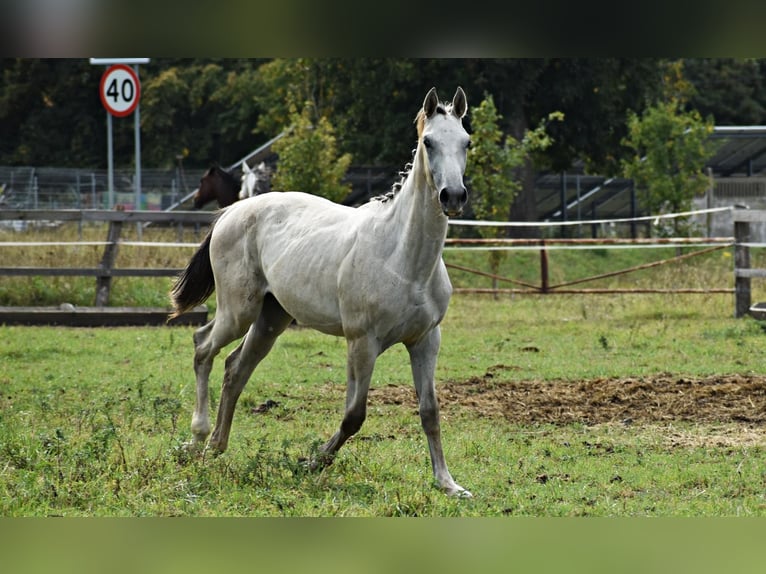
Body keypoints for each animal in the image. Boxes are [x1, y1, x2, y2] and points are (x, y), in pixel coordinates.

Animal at [172, 86, 474, 500]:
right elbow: (354, 414)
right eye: (428, 142)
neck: (403, 259)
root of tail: (232, 212)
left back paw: (217, 445)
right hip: (238, 313)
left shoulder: (426, 340)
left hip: (271, 319)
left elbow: (430, 411)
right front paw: (312, 463)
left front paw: (448, 483)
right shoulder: (362, 341)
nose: (453, 196)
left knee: (236, 368)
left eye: (466, 141)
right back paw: (197, 438)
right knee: (203, 347)